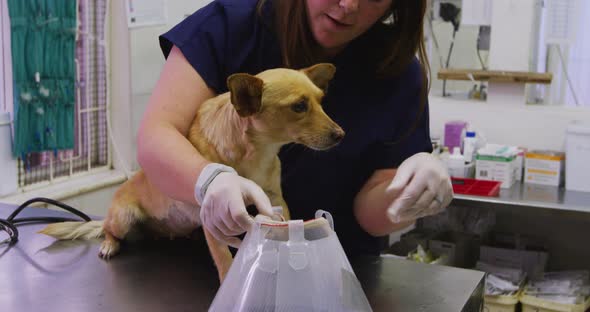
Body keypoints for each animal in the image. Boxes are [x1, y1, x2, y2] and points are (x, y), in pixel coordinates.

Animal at [39, 62, 344, 280]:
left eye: (321, 101)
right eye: (299, 106)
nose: (341, 135)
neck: (259, 152)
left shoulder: (274, 198)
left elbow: (283, 224)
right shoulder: (214, 217)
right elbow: (224, 259)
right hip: (123, 218)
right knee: (108, 231)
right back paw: (109, 244)